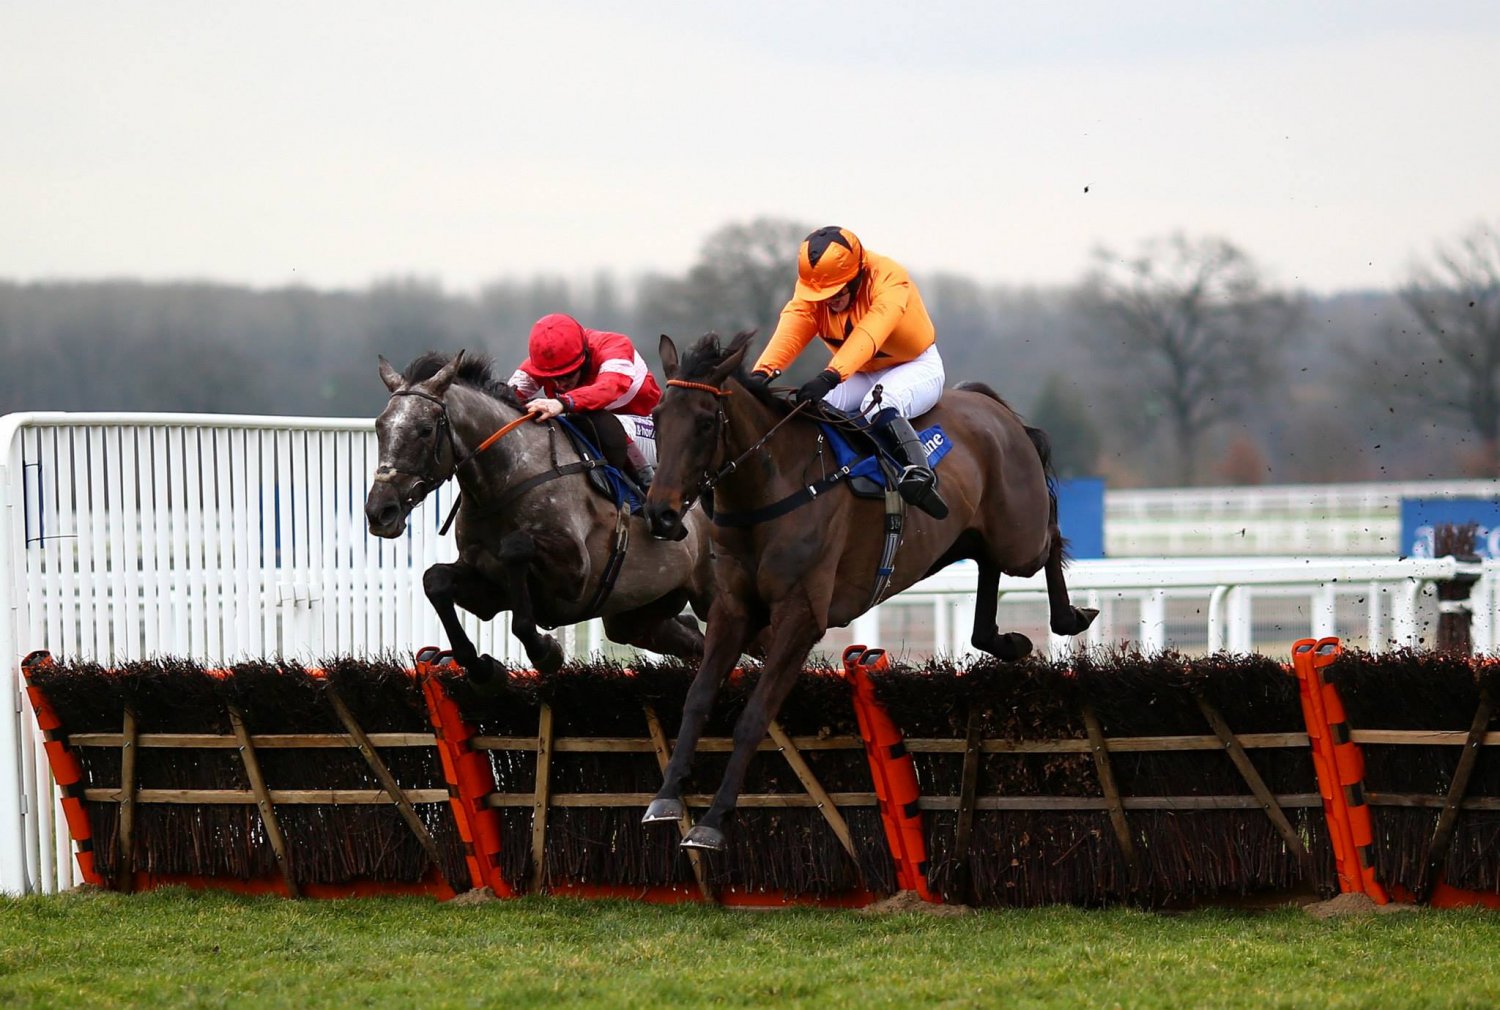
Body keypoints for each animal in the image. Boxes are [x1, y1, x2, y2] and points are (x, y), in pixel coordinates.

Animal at [364, 351, 714, 677]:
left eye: (424, 430)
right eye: (380, 427)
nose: (380, 511)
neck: (505, 480)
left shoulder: (576, 574)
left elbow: (515, 550)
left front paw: (545, 650)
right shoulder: (488, 587)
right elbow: (434, 580)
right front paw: (480, 666)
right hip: (636, 614)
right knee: (692, 635)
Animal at [639, 331, 1098, 850]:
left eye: (703, 422)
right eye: (656, 418)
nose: (660, 513)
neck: (774, 488)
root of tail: (988, 403)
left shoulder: (801, 616)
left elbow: (755, 716)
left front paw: (713, 821)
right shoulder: (733, 608)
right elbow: (697, 699)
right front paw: (666, 798)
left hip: (1018, 535)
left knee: (1049, 539)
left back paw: (1069, 617)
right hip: (966, 535)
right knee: (987, 566)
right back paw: (1003, 639)